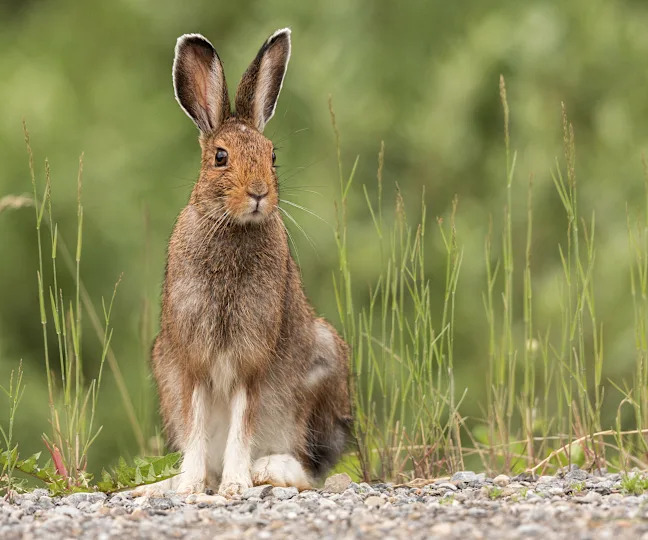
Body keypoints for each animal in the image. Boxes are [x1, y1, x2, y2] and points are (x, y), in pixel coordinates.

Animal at [135, 28, 352, 498]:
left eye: (272, 155)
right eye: (220, 157)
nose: (258, 193)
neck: (232, 227)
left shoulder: (251, 359)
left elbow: (242, 422)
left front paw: (235, 485)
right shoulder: (192, 358)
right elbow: (197, 424)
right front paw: (190, 486)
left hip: (323, 367)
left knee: (311, 466)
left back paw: (269, 469)